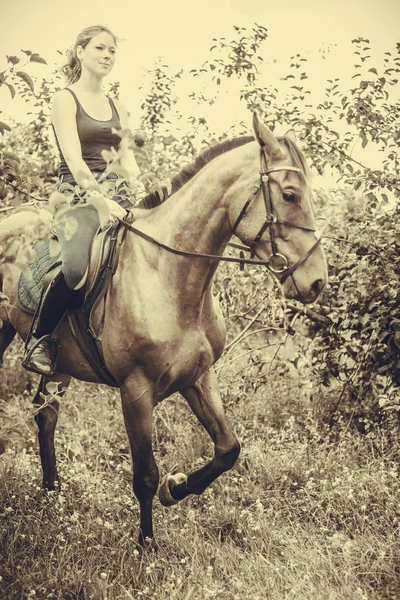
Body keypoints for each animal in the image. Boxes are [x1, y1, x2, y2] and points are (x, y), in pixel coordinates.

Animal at [0, 112, 326, 548]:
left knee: (46, 413)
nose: (317, 281)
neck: (168, 275)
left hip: (60, 362)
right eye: (290, 195)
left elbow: (229, 448)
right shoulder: (136, 391)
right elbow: (145, 475)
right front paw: (146, 544)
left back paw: (52, 493)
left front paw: (178, 488)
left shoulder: (199, 377)